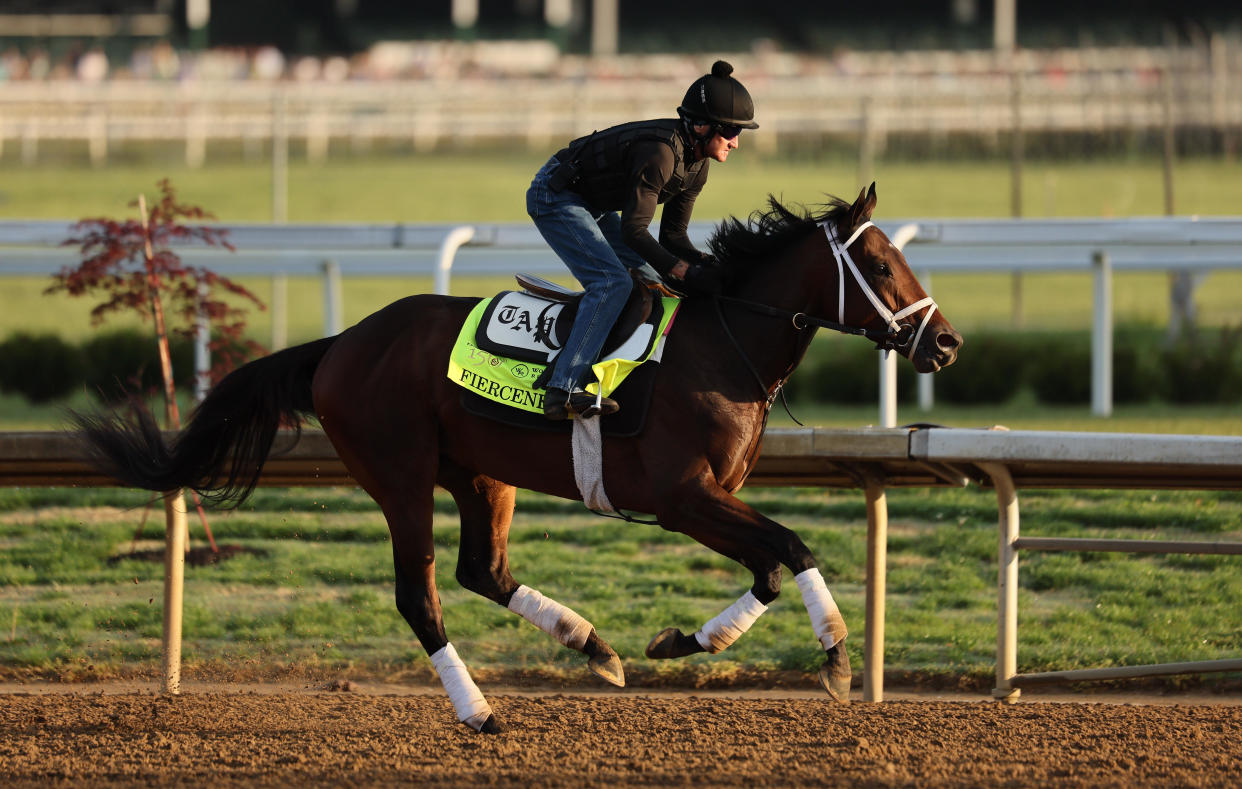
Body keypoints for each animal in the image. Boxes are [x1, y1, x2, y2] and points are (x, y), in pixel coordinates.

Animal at [75, 185, 958, 735]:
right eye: (880, 264)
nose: (945, 342)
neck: (721, 345)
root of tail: (341, 342)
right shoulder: (682, 496)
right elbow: (793, 548)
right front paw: (836, 654)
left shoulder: (709, 498)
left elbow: (770, 565)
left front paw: (681, 641)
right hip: (399, 474)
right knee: (421, 594)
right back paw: (479, 710)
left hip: (479, 473)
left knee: (484, 570)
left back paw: (593, 645)